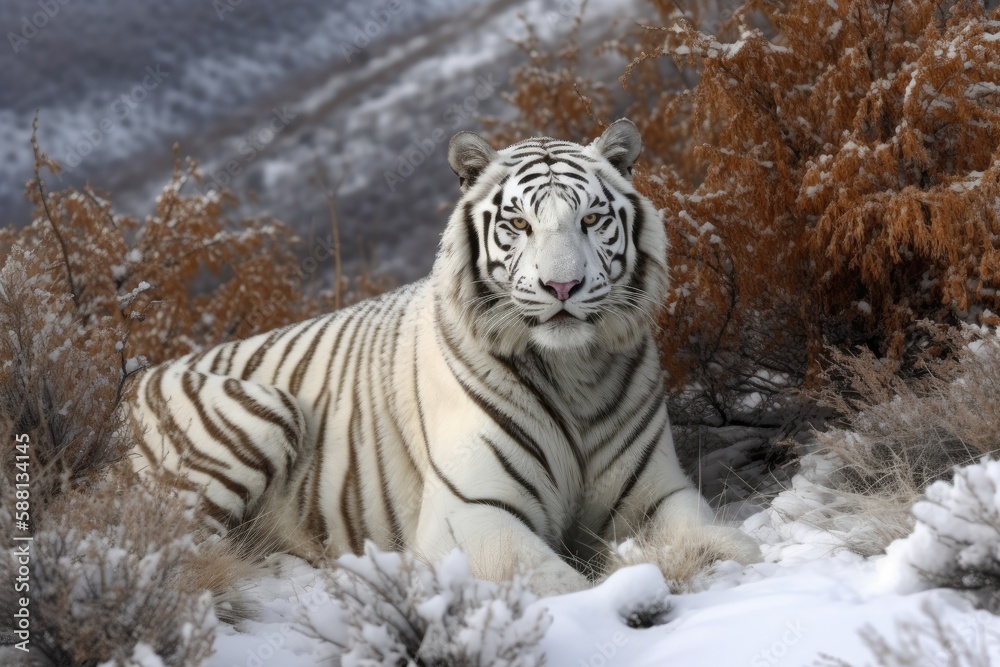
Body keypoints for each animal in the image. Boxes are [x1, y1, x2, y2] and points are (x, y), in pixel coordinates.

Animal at [128, 119, 759, 595]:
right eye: (519, 223)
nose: (562, 287)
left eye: (590, 219)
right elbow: (558, 583)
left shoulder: (655, 494)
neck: (573, 370)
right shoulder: (471, 511)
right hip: (262, 414)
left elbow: (722, 540)